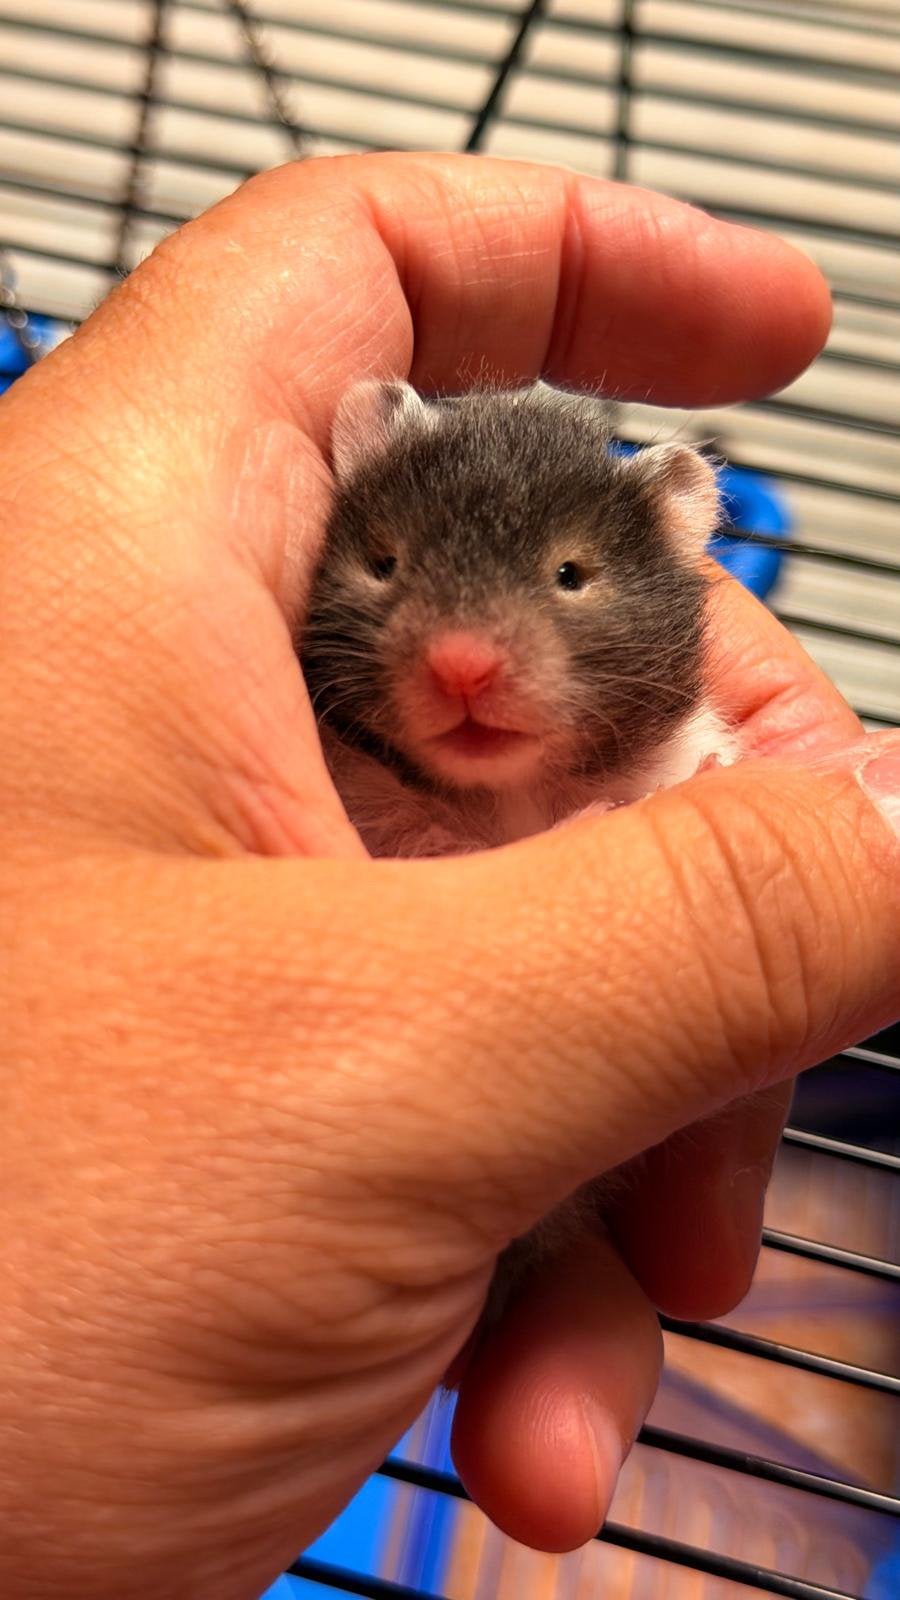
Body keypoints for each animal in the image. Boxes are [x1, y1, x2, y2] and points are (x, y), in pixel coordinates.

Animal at [301, 379, 737, 859]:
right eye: (384, 564)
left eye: (570, 574)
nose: (462, 668)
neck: (508, 792)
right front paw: (592, 814)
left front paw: (709, 768)